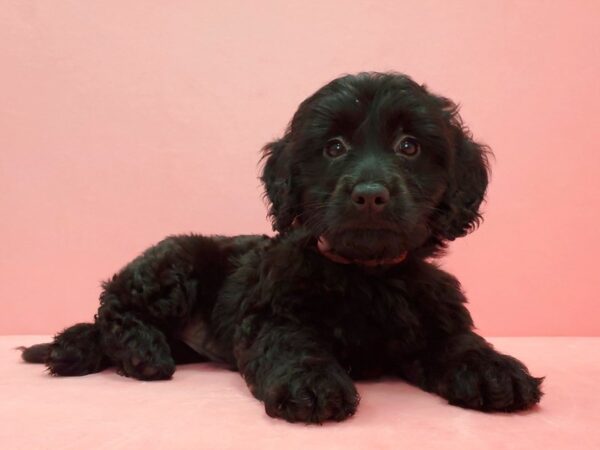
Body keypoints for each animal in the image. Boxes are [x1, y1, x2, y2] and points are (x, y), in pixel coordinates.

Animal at [22, 73, 544, 422]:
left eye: (409, 146)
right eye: (334, 148)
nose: (370, 194)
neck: (367, 272)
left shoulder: (433, 312)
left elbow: (460, 340)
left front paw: (494, 371)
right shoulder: (272, 312)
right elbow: (293, 344)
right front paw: (310, 384)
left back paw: (73, 350)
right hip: (176, 263)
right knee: (115, 303)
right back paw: (138, 351)